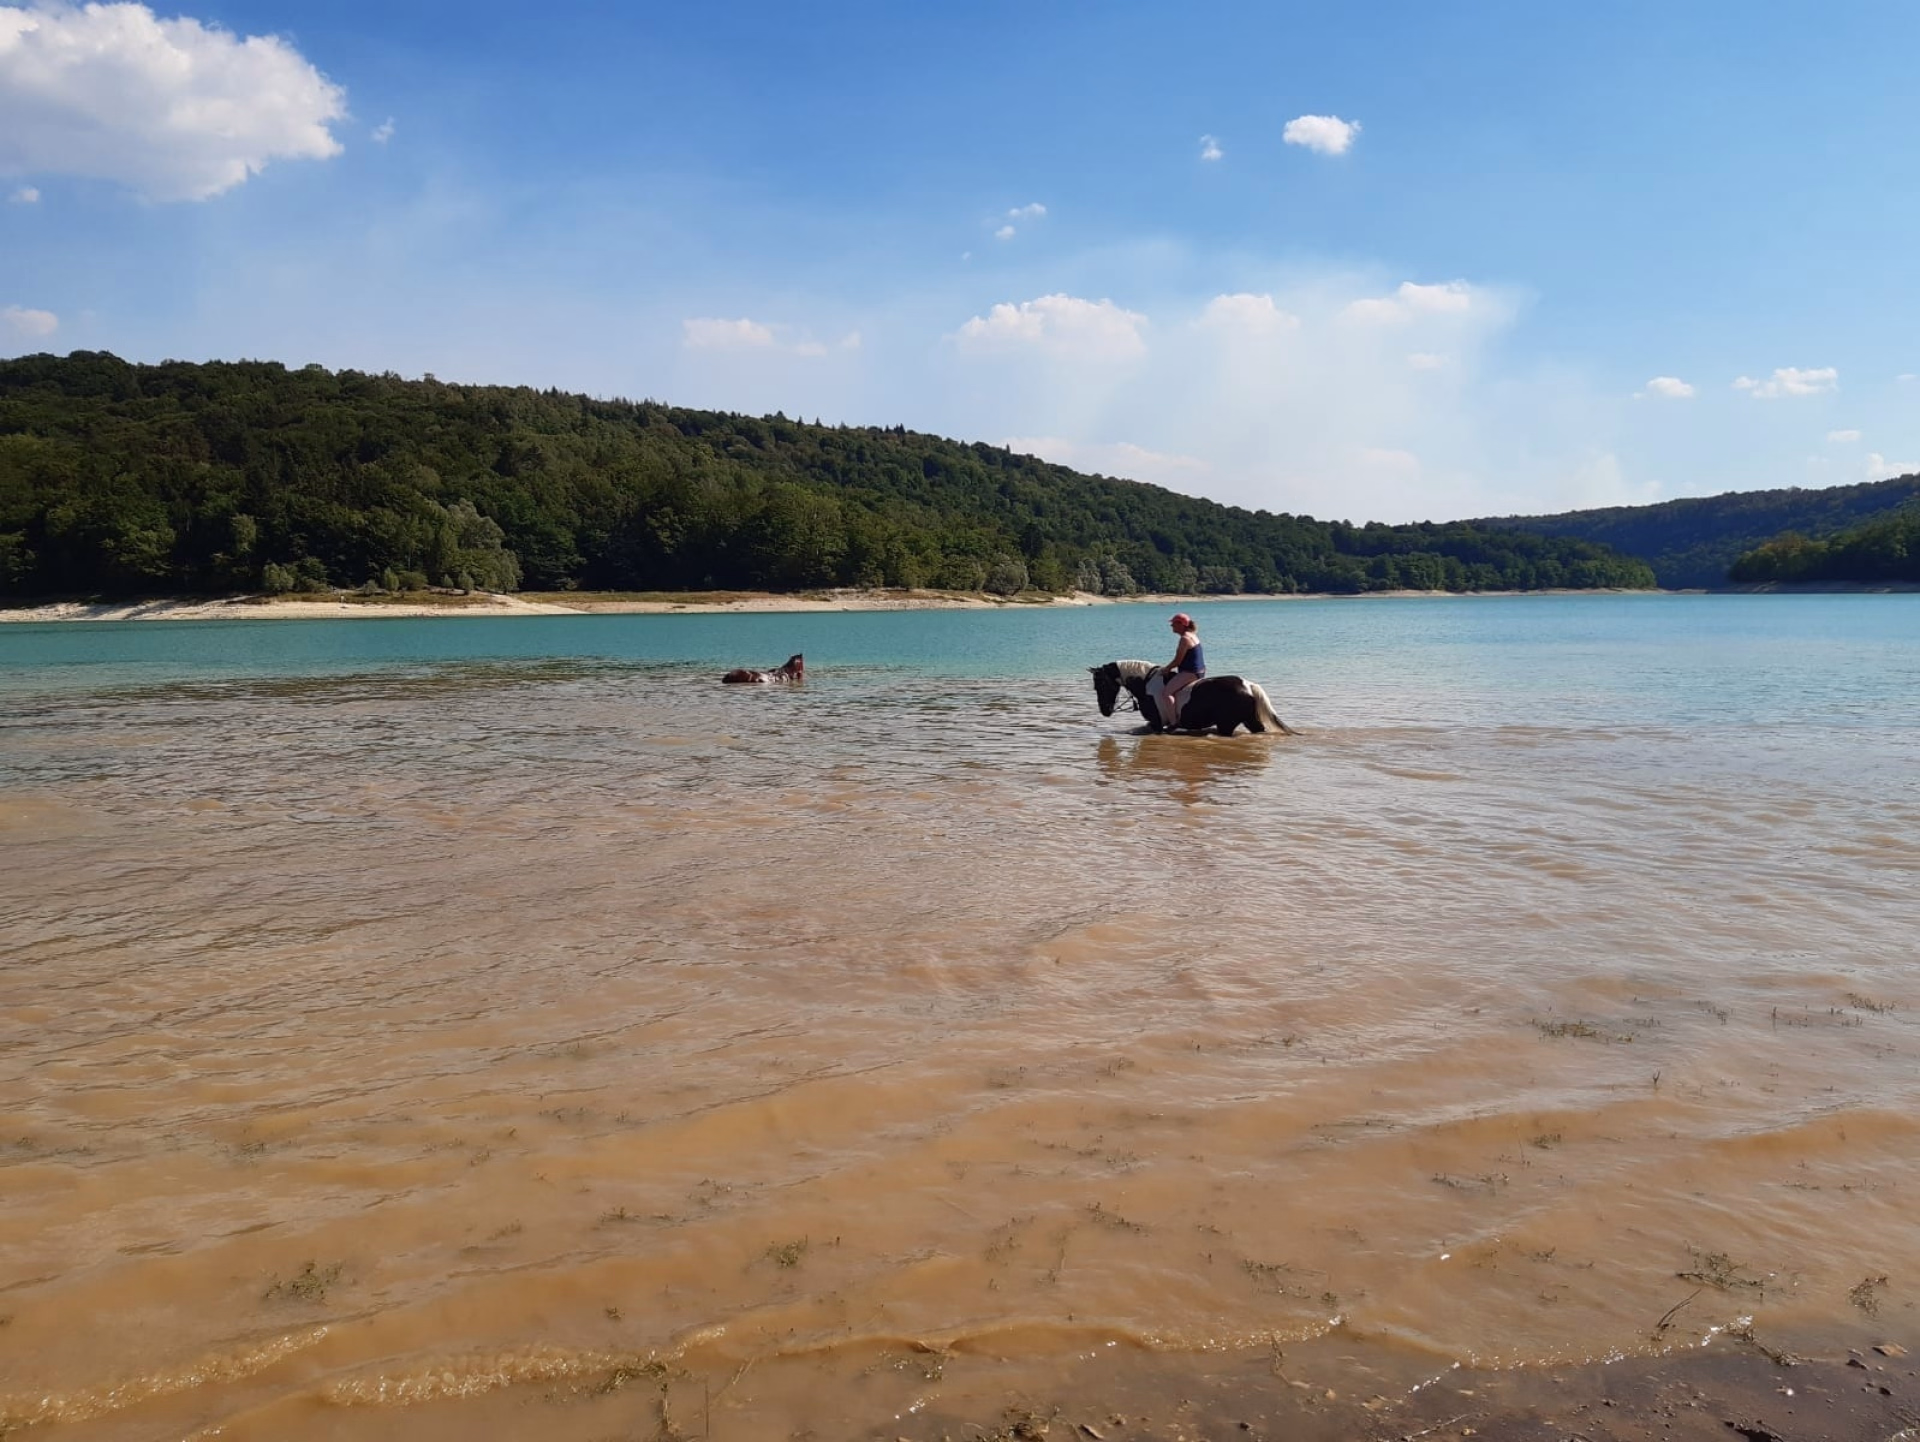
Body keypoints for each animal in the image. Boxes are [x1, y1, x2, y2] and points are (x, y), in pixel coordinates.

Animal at [1090, 659, 1297, 736]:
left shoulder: (1156, 724)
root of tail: (1248, 685)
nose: (1105, 710)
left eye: (1101, 684)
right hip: (1249, 720)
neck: (1145, 684)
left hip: (1227, 725)